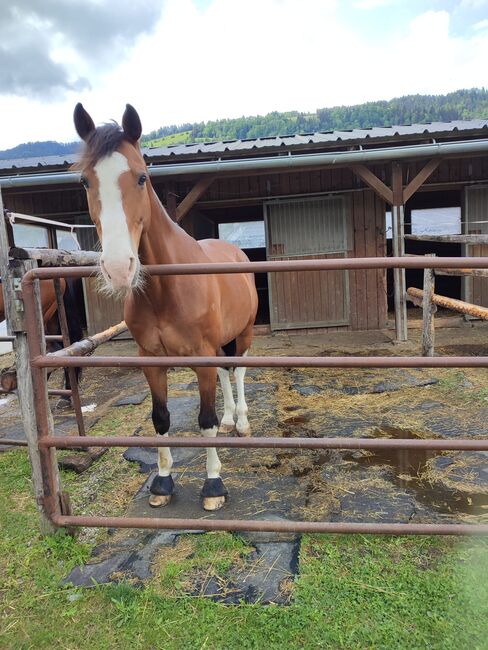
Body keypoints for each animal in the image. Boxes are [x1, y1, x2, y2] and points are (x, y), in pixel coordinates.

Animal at [73, 101, 260, 508]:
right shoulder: (152, 362)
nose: (118, 268)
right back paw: (230, 420)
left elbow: (204, 421)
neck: (165, 290)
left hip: (244, 333)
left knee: (237, 372)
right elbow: (160, 418)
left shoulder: (203, 357)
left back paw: (240, 422)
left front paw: (213, 485)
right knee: (226, 374)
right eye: (85, 181)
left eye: (142, 177)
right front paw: (161, 482)